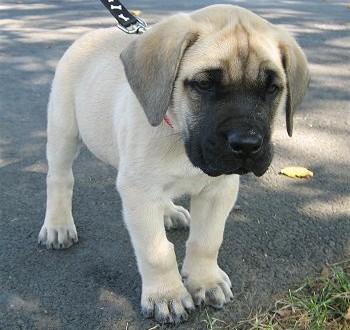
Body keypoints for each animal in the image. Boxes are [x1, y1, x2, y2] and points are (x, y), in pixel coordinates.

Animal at [38, 4, 308, 324]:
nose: (246, 145)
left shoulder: (219, 190)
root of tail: (88, 36)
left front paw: (205, 281)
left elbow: (206, 240)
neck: (179, 136)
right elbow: (156, 251)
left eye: (272, 89)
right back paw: (58, 225)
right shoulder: (139, 193)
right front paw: (166, 296)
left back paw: (169, 211)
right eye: (204, 84)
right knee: (59, 179)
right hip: (64, 131)